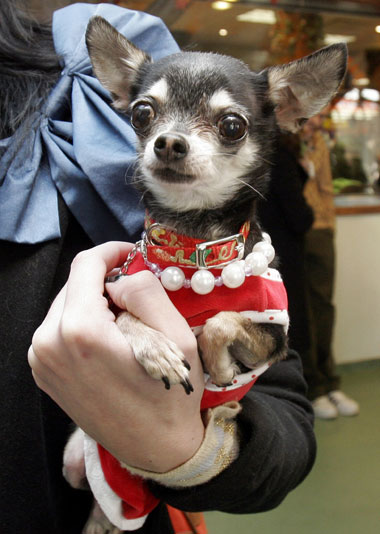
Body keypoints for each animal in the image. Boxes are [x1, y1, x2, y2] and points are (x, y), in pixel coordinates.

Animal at [63, 14, 348, 532]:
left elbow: (219, 322)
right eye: (142, 113)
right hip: (77, 451)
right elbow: (124, 315)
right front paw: (156, 347)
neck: (194, 249)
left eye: (232, 125)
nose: (169, 142)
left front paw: (218, 369)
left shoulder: (273, 340)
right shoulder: (118, 286)